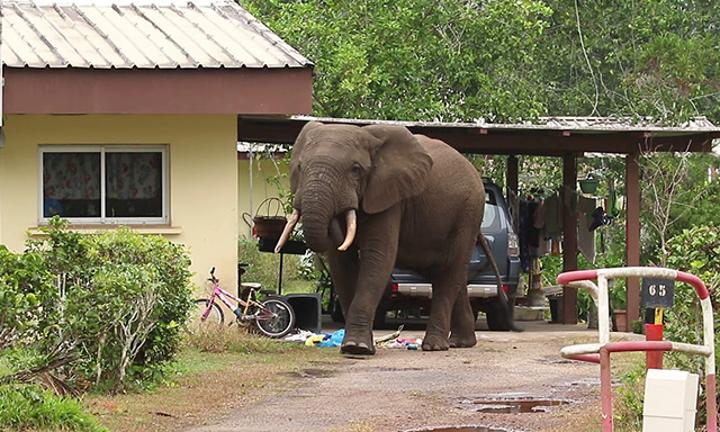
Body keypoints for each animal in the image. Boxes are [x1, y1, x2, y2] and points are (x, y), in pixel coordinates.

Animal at [274, 121, 517, 355]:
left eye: (355, 170)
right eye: (300, 167)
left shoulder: (389, 197)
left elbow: (378, 256)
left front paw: (357, 347)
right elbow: (342, 263)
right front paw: (356, 346)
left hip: (468, 213)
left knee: (450, 271)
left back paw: (435, 346)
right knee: (449, 275)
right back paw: (461, 343)